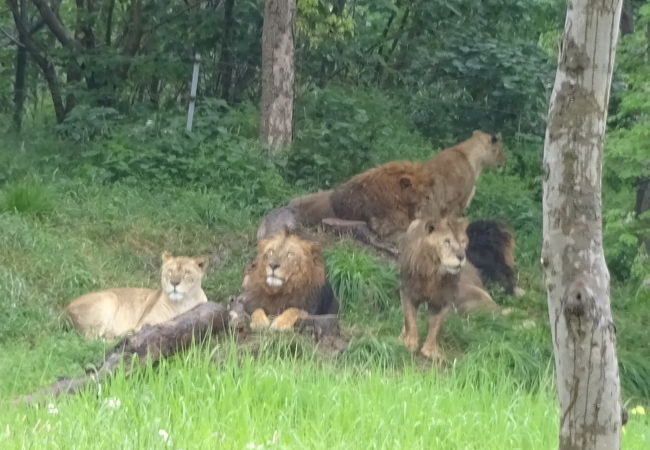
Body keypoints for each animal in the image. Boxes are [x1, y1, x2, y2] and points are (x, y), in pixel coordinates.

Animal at [63, 251, 208, 340]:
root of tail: (64, 310)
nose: (174, 283)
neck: (181, 304)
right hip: (109, 298)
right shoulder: (145, 324)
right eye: (170, 271)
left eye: (187, 273)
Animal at [394, 216, 492, 360]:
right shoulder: (408, 291)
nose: (461, 256)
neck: (434, 272)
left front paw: (430, 351)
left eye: (462, 242)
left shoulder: (444, 300)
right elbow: (409, 319)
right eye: (447, 242)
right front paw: (410, 343)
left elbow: (436, 325)